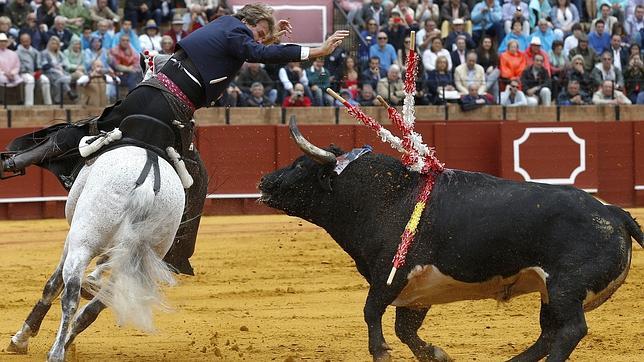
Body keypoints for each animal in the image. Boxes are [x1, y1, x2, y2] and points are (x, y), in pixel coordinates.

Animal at [6, 138, 186, 360]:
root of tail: (147, 185)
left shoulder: (71, 240)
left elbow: (52, 286)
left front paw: (20, 339)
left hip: (82, 243)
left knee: (70, 298)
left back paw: (56, 352)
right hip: (136, 262)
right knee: (94, 308)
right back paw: (65, 345)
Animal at [258, 119, 644, 362]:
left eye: (299, 166)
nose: (264, 182)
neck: (387, 197)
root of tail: (614, 213)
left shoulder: (391, 274)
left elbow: (371, 311)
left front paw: (380, 351)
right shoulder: (416, 291)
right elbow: (404, 329)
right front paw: (437, 354)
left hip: (566, 287)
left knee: (570, 331)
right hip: (551, 294)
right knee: (550, 334)